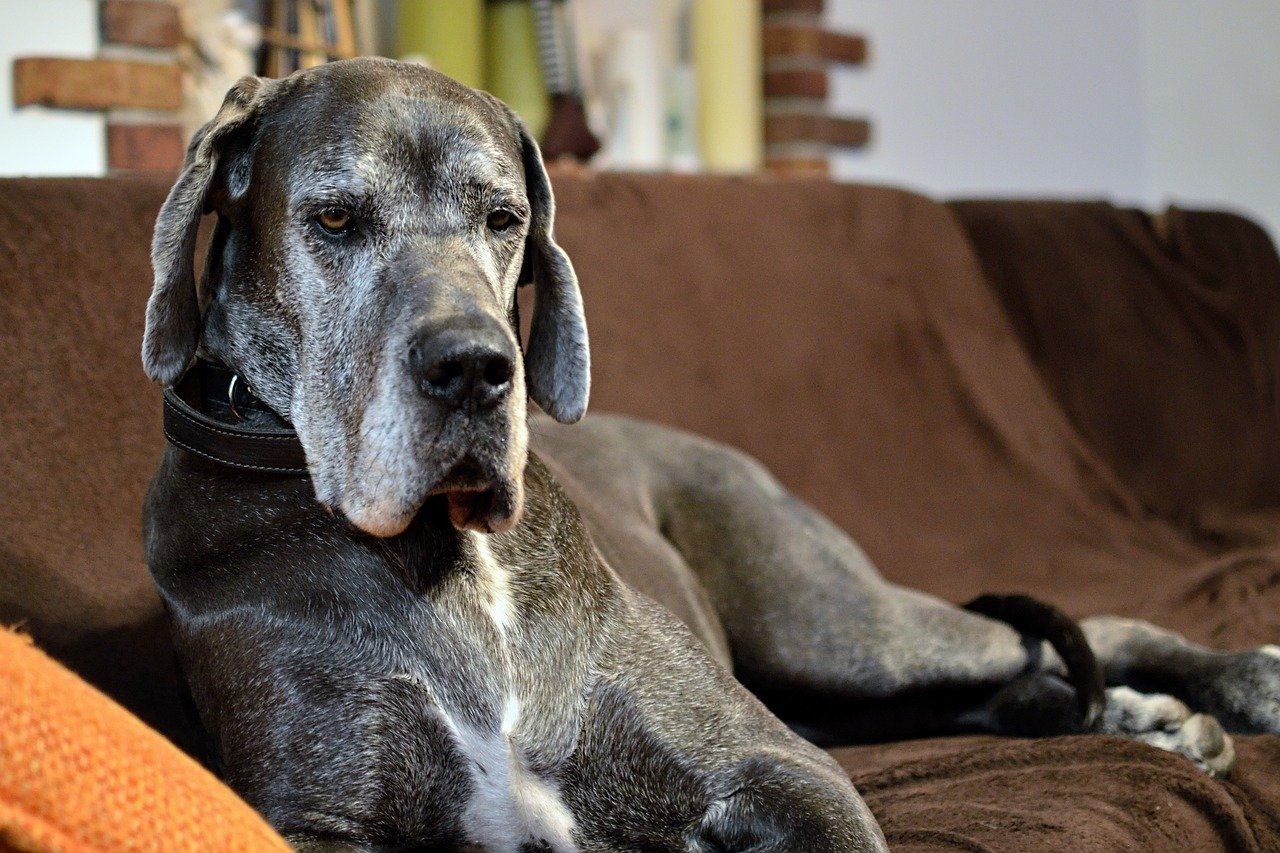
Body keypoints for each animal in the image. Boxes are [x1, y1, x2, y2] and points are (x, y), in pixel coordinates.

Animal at [140, 56, 1280, 845]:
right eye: (334, 217)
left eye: (503, 217)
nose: (476, 369)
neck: (448, 557)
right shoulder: (313, 815)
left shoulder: (776, 764)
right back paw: (1144, 717)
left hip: (829, 624)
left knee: (1065, 628)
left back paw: (1228, 683)